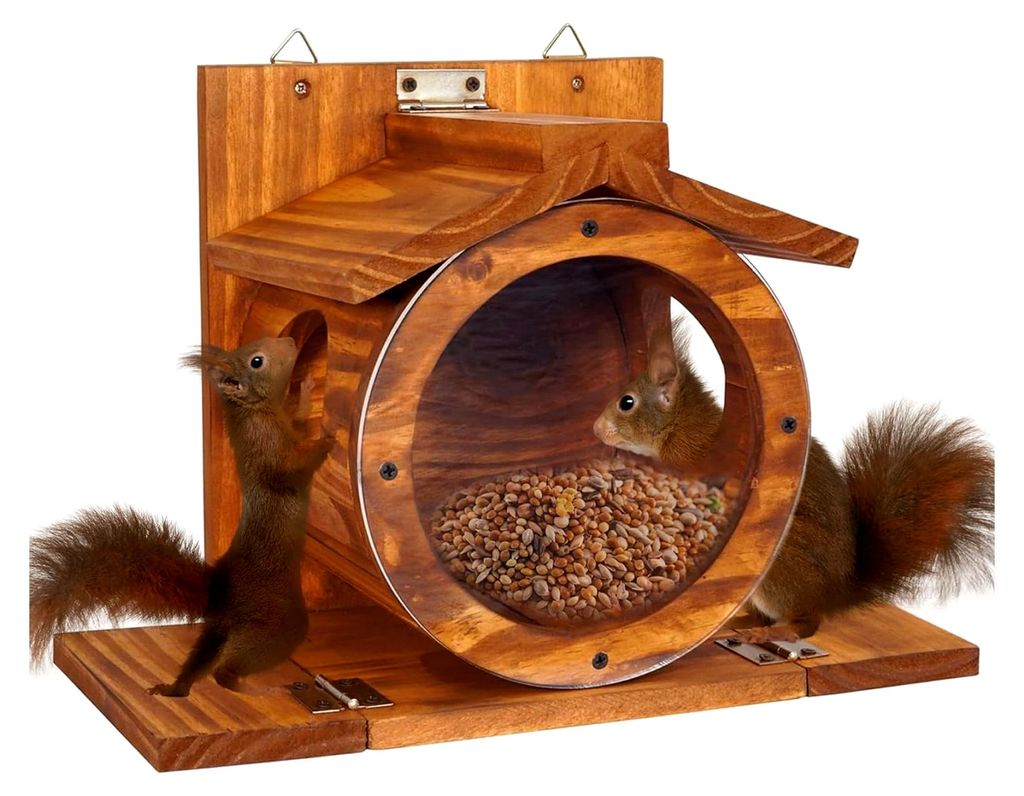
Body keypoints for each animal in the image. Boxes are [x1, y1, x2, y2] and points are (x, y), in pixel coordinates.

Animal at [29, 336, 335, 695]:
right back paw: (257, 689)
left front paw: (307, 389)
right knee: (226, 670)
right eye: (257, 360)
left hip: (218, 630)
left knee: (201, 660)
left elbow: (298, 417)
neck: (257, 410)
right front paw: (328, 441)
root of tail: (220, 591)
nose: (289, 339)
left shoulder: (285, 424)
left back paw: (176, 688)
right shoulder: (268, 450)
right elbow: (291, 470)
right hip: (276, 624)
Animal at [593, 320, 994, 640]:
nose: (595, 428)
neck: (678, 429)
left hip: (778, 561)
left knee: (805, 625)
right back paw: (738, 624)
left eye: (626, 402)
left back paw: (775, 632)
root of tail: (836, 593)